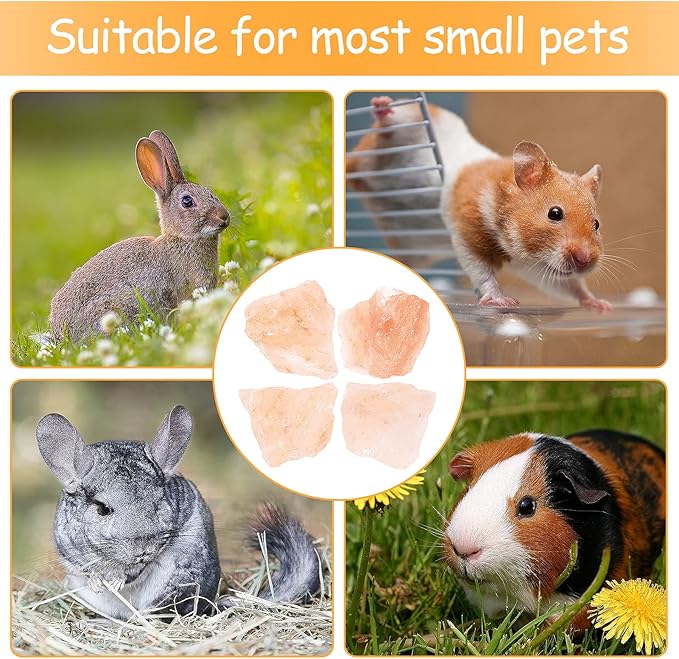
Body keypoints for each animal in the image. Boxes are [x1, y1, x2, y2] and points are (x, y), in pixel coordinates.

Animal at [36, 406, 322, 620]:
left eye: (157, 503)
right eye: (102, 508)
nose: (143, 550)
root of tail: (212, 603)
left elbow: (132, 572)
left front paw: (116, 580)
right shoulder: (70, 552)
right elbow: (88, 568)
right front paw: (100, 580)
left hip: (174, 586)